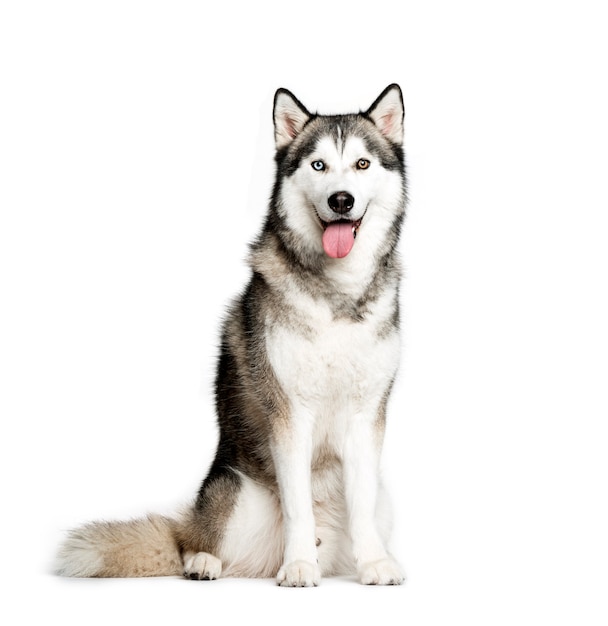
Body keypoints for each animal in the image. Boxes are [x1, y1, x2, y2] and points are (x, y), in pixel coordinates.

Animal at [57, 84, 408, 584]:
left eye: (362, 164)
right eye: (318, 165)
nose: (341, 200)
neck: (337, 292)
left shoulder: (367, 414)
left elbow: (361, 502)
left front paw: (376, 563)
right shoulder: (289, 413)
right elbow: (297, 504)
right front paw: (299, 566)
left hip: (383, 501)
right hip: (233, 490)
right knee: (191, 540)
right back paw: (206, 561)